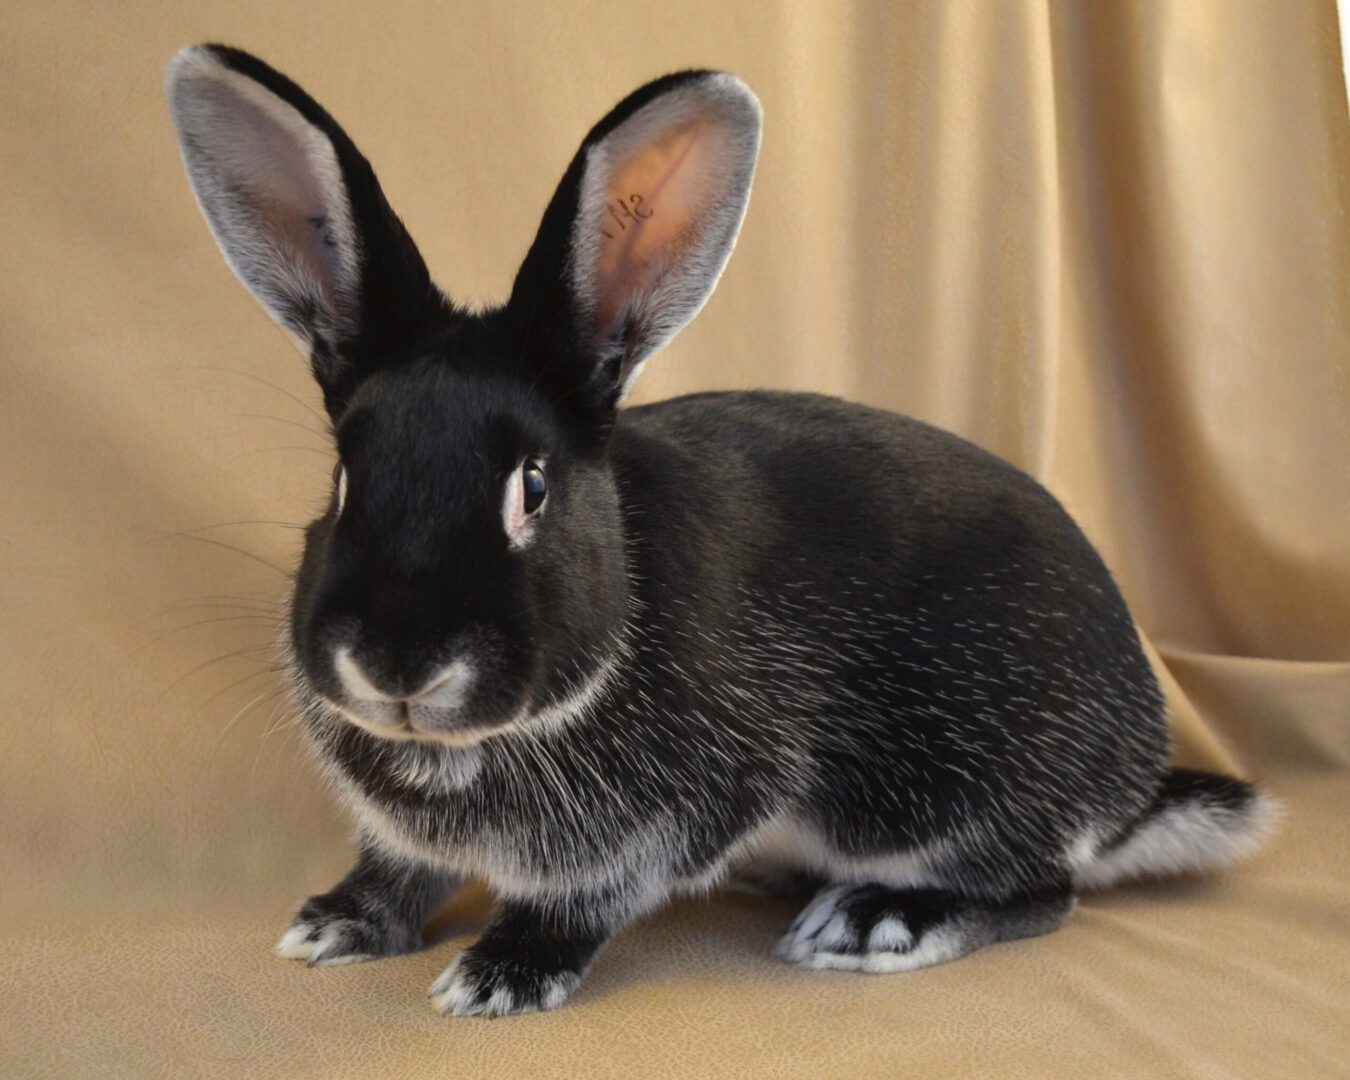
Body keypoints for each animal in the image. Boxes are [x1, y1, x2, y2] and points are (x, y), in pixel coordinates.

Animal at [165, 44, 1277, 1018]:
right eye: (344, 477)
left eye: (533, 488)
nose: (397, 665)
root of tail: (1129, 784)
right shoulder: (418, 836)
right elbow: (400, 866)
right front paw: (334, 923)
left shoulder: (680, 812)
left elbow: (587, 899)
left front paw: (500, 975)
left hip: (951, 794)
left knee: (1043, 892)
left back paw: (872, 919)